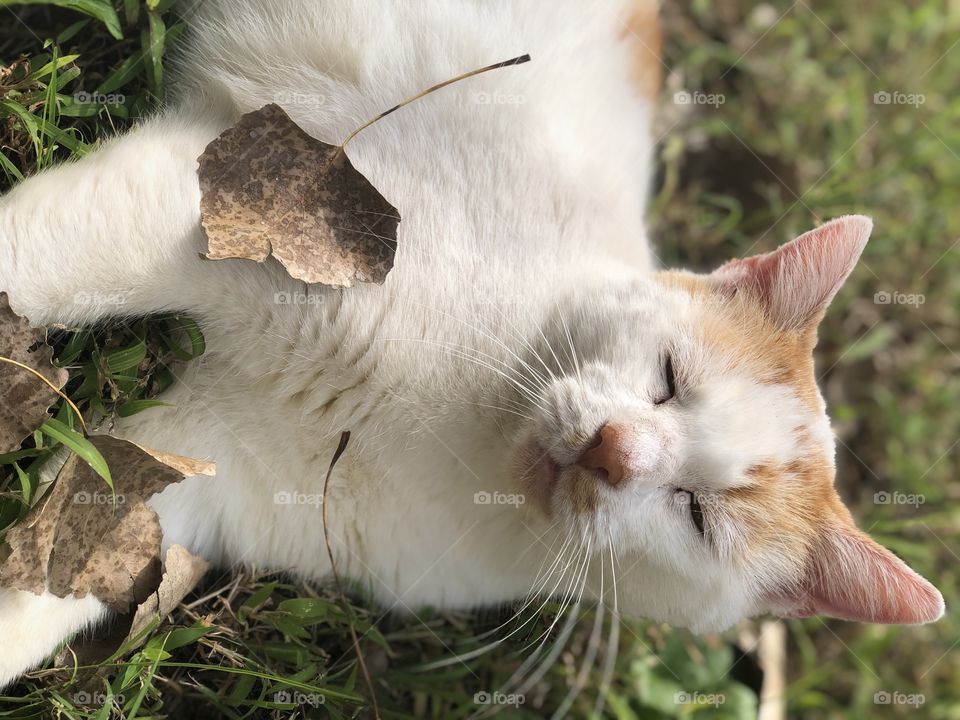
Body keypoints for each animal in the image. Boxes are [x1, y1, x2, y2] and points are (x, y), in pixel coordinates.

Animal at [0, 0, 940, 688]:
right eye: (670, 378)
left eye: (696, 515)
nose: (615, 450)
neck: (453, 436)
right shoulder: (220, 198)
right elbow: (29, 261)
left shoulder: (206, 462)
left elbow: (50, 574)